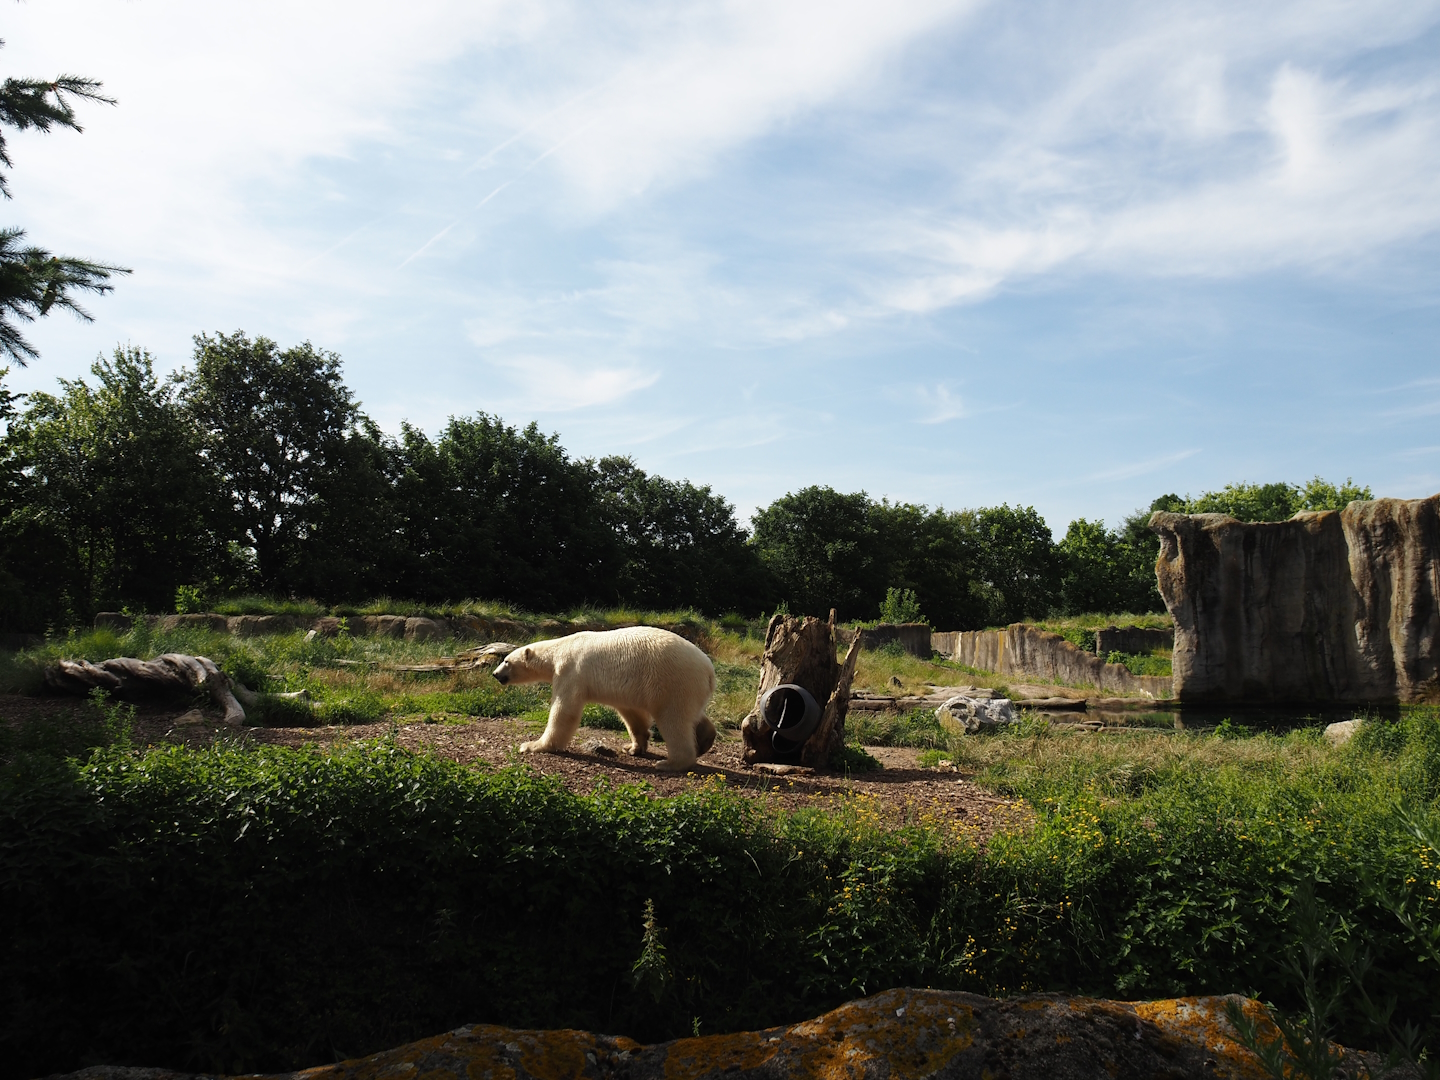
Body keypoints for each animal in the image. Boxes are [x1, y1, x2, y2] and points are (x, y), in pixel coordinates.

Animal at [492, 626, 718, 771]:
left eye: (506, 660)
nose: (495, 674)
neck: (559, 649)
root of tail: (709, 670)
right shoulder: (627, 689)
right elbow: (632, 714)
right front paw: (633, 747)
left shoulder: (570, 671)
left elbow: (564, 710)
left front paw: (532, 745)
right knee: (692, 715)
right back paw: (705, 740)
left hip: (673, 681)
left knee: (674, 720)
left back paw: (670, 763)